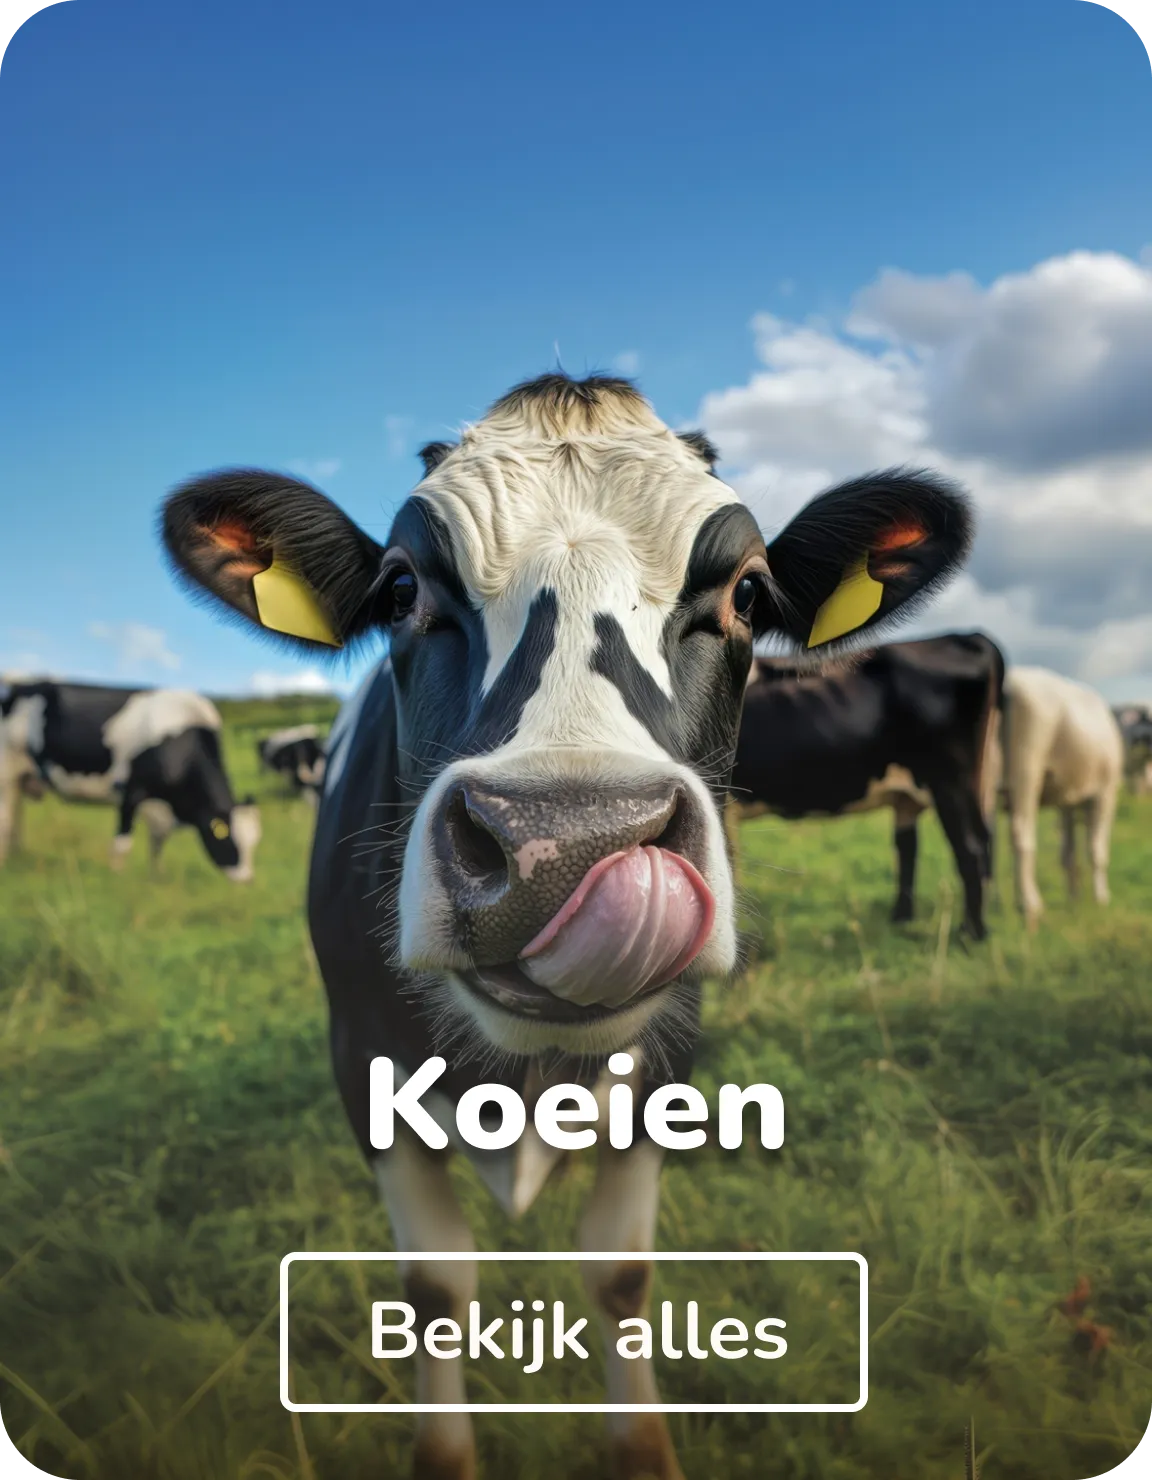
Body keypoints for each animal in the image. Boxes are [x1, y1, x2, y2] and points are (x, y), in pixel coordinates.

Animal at [0, 679, 261, 880]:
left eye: (254, 842)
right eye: (227, 838)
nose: (247, 880)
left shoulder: (159, 807)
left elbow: (157, 843)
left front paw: (157, 875)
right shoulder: (130, 791)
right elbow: (122, 844)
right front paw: (118, 877)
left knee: (15, 817)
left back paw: (17, 856)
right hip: (6, 773)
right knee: (6, 818)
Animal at [159, 372, 973, 1480]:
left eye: (748, 594)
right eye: (402, 589)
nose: (566, 844)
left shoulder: (665, 1059)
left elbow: (620, 1276)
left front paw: (644, 1447)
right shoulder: (359, 1059)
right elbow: (436, 1290)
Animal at [726, 633, 1005, 939]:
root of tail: (964, 636)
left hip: (949, 780)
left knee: (970, 849)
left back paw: (970, 934)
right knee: (920, 846)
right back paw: (904, 920)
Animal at [999, 667, 1125, 930]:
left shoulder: (1066, 802)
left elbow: (1068, 853)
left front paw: (1074, 898)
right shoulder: (1106, 794)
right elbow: (1097, 850)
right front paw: (1101, 899)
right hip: (1026, 767)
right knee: (1021, 832)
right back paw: (1029, 906)